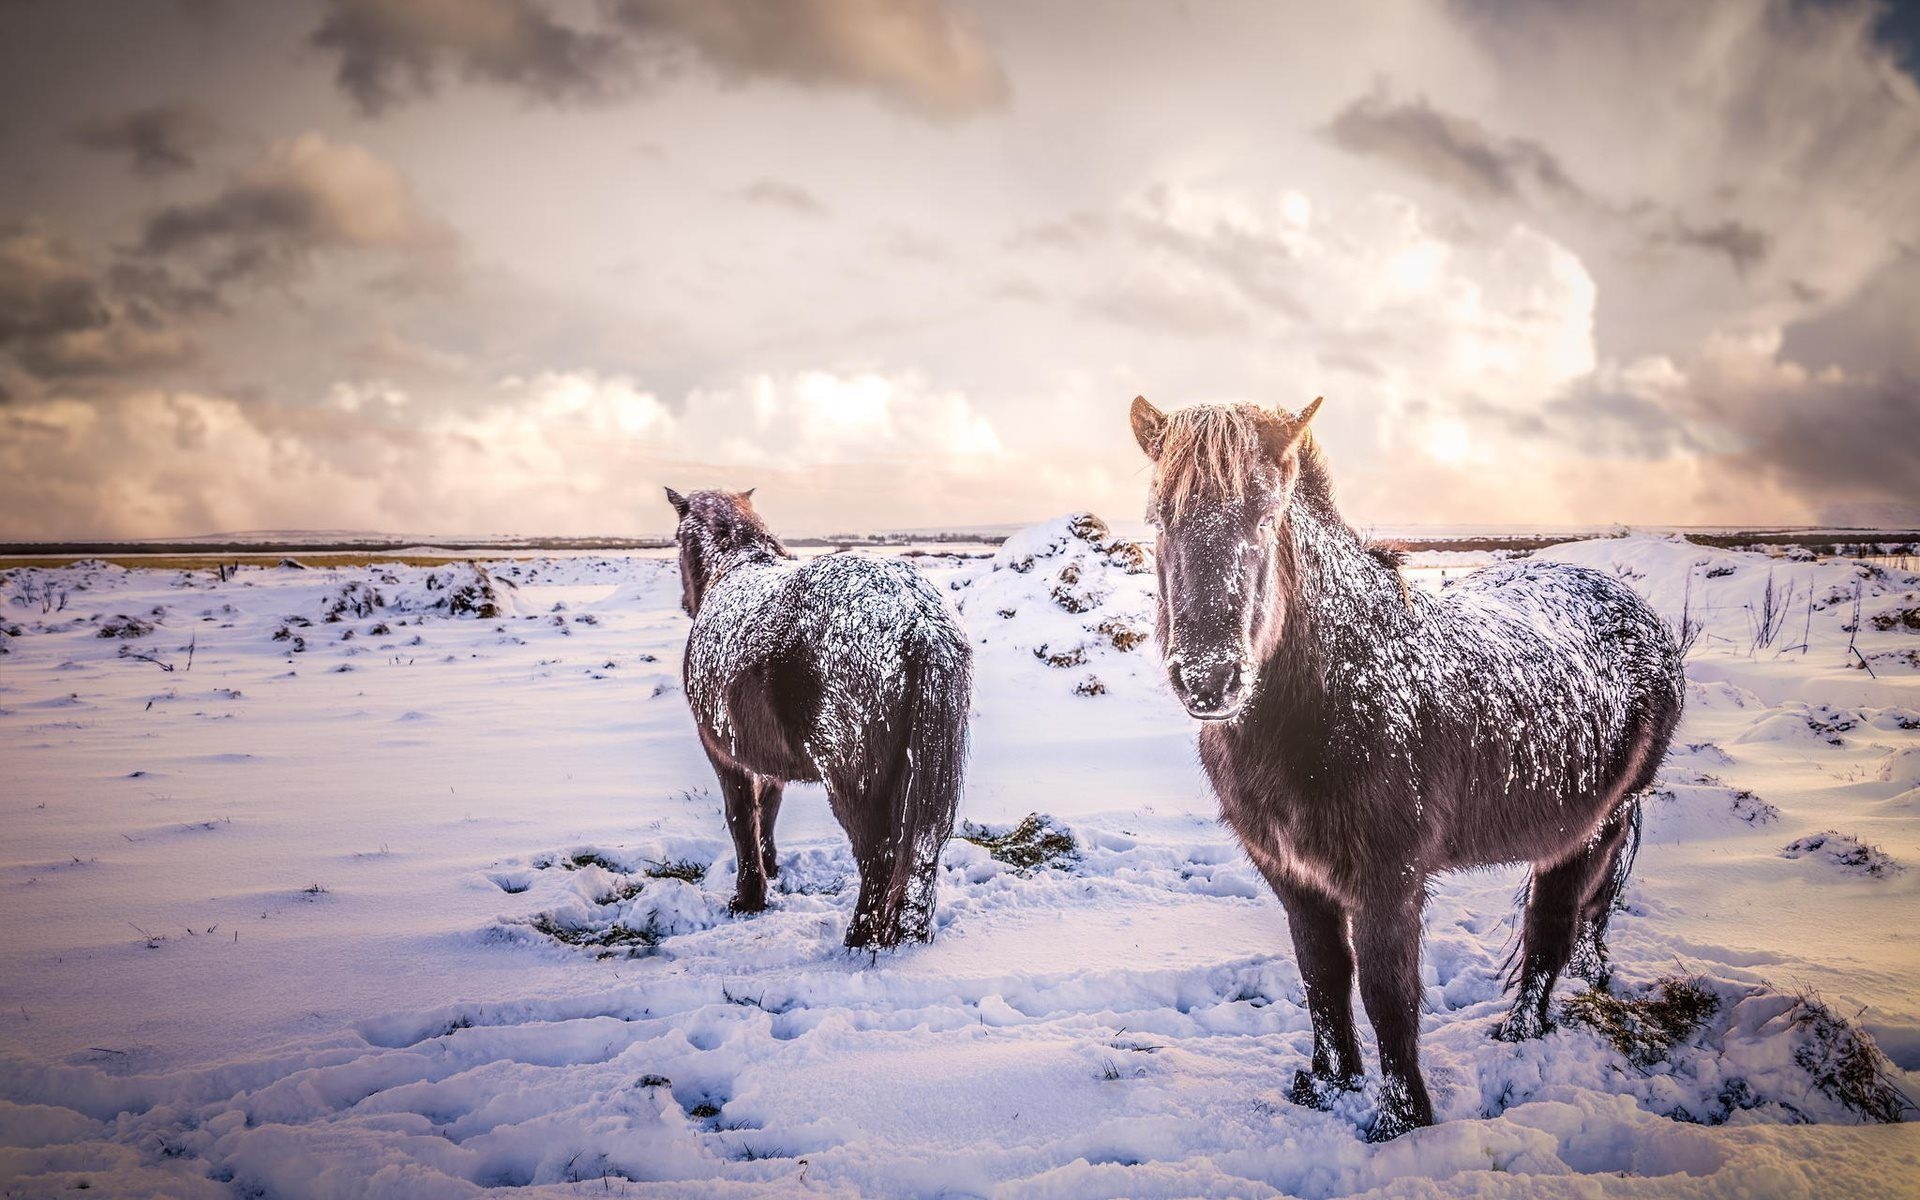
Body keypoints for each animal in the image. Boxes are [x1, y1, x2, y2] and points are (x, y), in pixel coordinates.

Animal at [672, 487, 975, 944]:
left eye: (677, 539)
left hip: (853, 782)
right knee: (921, 851)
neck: (733, 567)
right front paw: (770, 869)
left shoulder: (725, 756)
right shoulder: (769, 759)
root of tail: (919, 622)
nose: (684, 601)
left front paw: (749, 897)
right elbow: (768, 808)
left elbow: (742, 818)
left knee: (878, 858)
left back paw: (858, 938)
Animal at [1128, 397, 1689, 1136]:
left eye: (1266, 512)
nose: (1208, 677)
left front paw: (1400, 1122)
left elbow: (1387, 993)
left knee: (1553, 928)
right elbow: (1322, 976)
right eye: (1157, 517)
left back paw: (1520, 1035)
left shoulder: (1388, 879)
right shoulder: (1293, 877)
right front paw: (1328, 1086)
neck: (1342, 689)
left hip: (1593, 827)